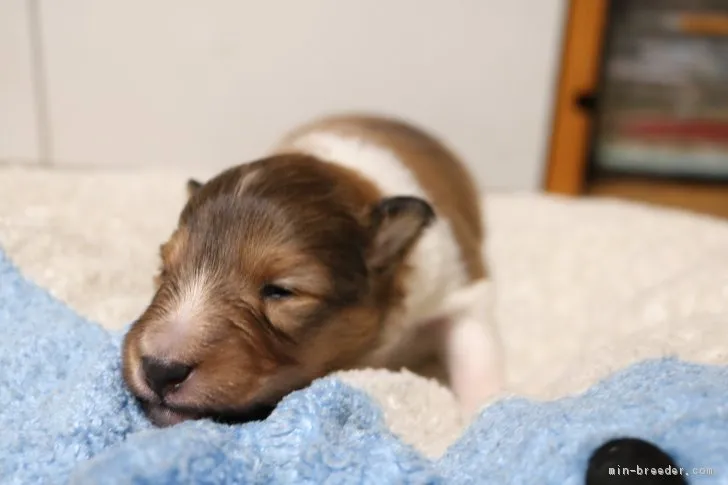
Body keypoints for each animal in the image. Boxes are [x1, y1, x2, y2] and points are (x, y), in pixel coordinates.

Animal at [122, 114, 504, 428]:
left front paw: (485, 415)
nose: (159, 370)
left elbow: (475, 355)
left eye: (280, 291)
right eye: (165, 270)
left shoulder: (461, 286)